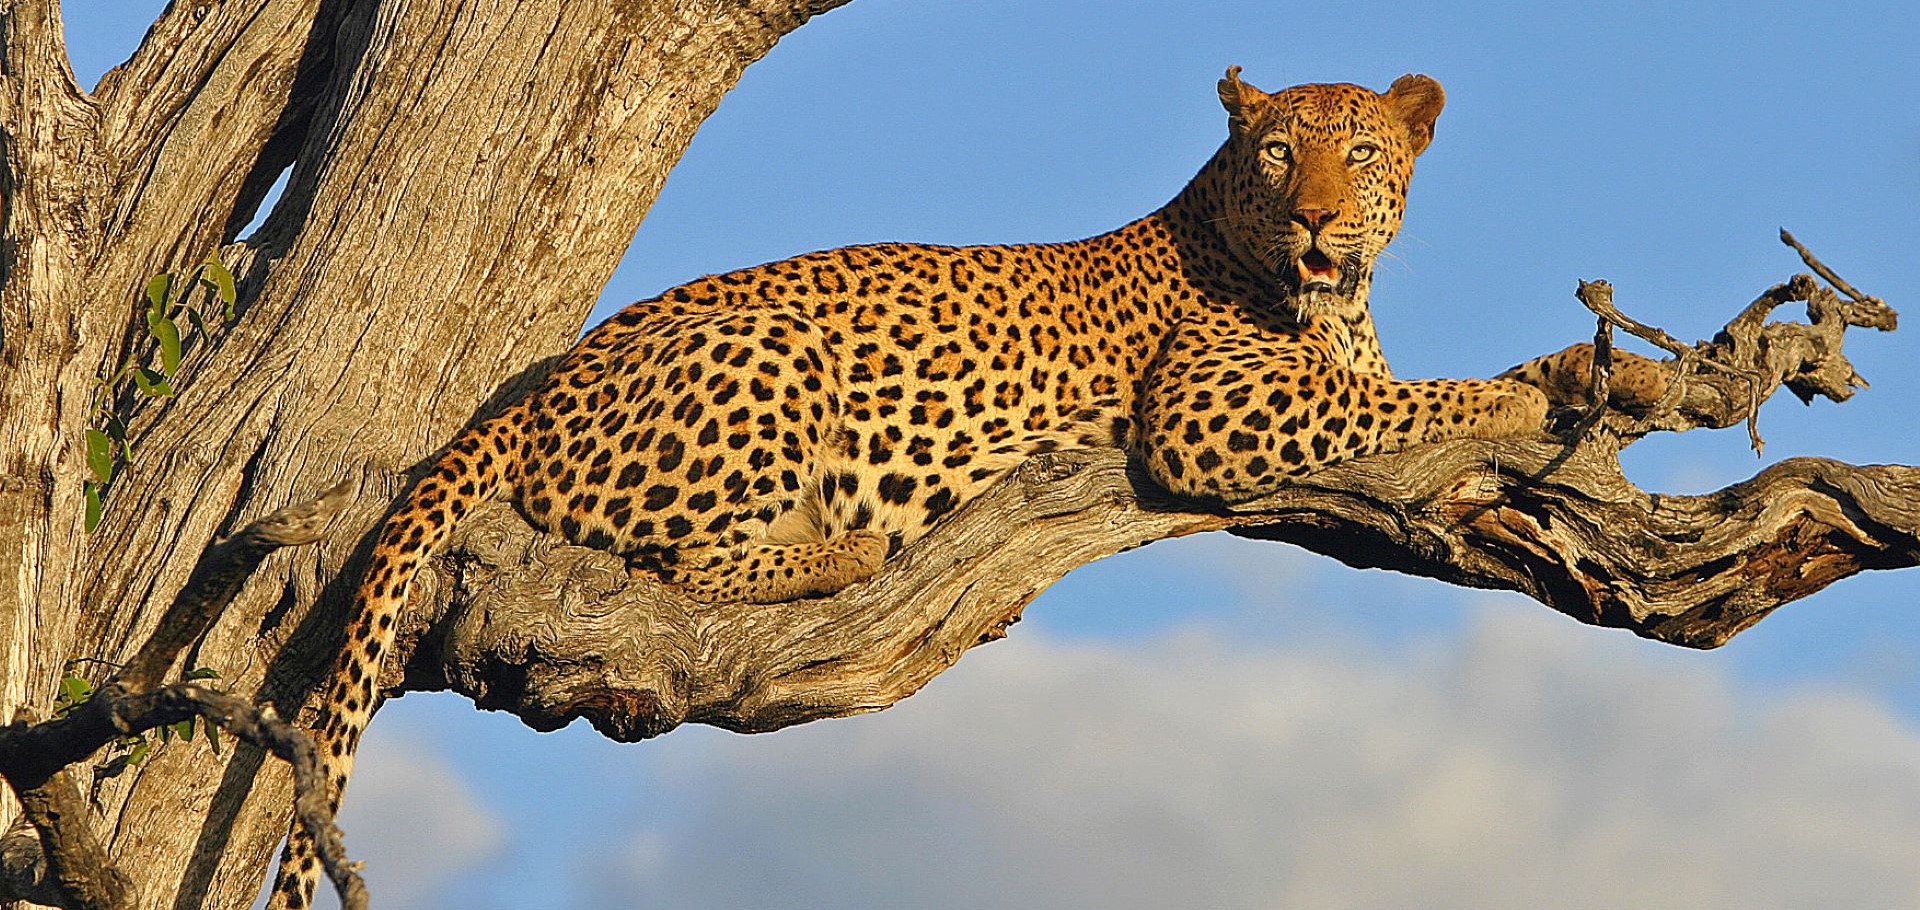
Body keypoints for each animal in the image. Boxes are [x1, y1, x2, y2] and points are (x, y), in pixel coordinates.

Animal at [268, 68, 1669, 906]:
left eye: (1363, 152)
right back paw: (845, 546)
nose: (1320, 218)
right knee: (685, 558)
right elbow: (1406, 399)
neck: (1329, 297)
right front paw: (1519, 402)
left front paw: (1607, 376)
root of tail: (537, 384)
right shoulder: (1203, 411)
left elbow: (1450, 376)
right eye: (1277, 155)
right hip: (776, 349)